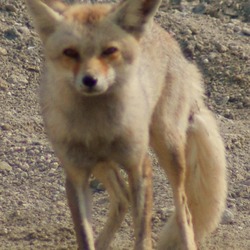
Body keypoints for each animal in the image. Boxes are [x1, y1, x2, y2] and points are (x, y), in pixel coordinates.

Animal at [25, 0, 229, 249]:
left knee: (184, 211)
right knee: (122, 198)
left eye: (109, 51)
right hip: (101, 164)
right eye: (70, 52)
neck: (98, 127)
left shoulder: (139, 165)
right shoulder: (76, 175)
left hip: (168, 147)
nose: (90, 80)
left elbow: (142, 236)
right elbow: (85, 236)